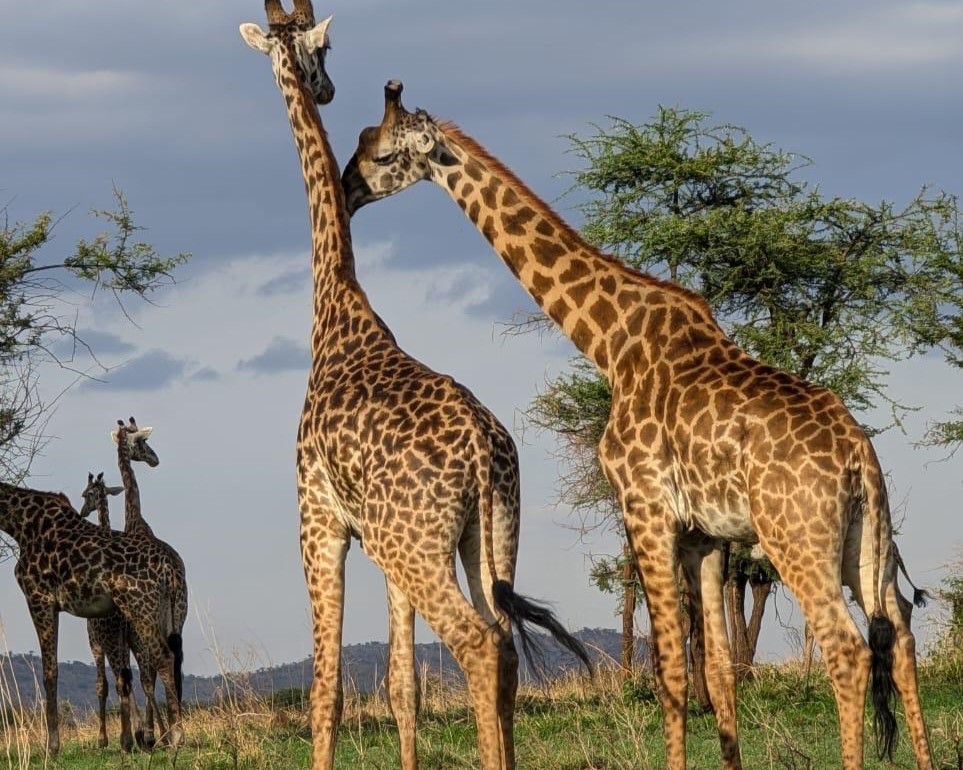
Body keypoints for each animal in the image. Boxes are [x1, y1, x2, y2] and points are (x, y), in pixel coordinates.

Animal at [0, 480, 185, 755]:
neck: (20, 523)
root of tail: (170, 568)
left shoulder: (39, 597)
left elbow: (49, 670)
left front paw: (52, 747)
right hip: (170, 613)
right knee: (168, 662)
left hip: (142, 609)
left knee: (161, 659)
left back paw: (173, 737)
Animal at [239, 5, 589, 769]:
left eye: (324, 50)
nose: (327, 88)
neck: (337, 307)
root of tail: (484, 453)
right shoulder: (382, 541)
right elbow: (404, 687)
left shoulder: (320, 518)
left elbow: (328, 689)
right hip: (488, 532)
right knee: (503, 648)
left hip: (422, 546)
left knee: (478, 643)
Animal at [340, 81, 934, 770]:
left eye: (382, 154)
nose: (346, 189)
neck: (610, 341)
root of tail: (859, 456)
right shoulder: (705, 536)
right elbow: (718, 671)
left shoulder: (645, 507)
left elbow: (671, 668)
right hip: (866, 542)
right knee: (902, 636)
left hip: (798, 540)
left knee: (847, 649)